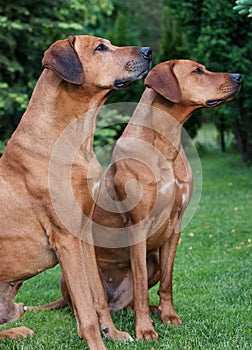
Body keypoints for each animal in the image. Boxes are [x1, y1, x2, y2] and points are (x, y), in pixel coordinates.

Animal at [0, 34, 152, 348]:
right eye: (100, 48)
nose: (149, 51)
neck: (76, 139)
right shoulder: (67, 238)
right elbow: (85, 306)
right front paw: (97, 341)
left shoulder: (84, 232)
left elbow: (97, 298)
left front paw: (112, 333)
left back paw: (18, 331)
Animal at [34, 60, 241, 342]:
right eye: (197, 71)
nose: (239, 76)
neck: (165, 145)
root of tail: (115, 302)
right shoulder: (138, 227)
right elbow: (141, 287)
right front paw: (145, 330)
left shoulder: (175, 226)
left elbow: (167, 281)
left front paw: (169, 316)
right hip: (73, 274)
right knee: (82, 305)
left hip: (152, 260)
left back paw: (152, 310)